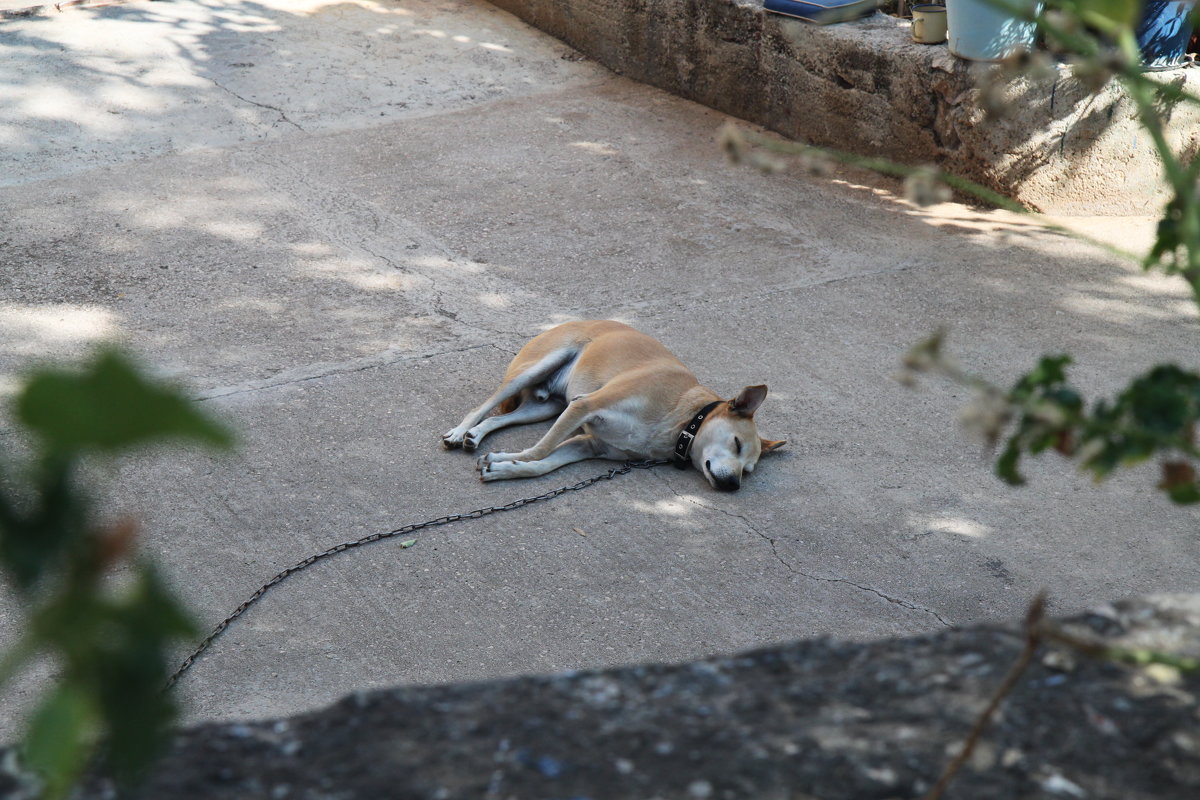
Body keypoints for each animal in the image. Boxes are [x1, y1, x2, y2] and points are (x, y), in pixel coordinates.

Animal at [444, 321, 787, 491]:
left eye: (748, 470)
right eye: (737, 443)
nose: (732, 486)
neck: (683, 419)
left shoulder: (589, 444)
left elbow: (542, 464)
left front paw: (505, 466)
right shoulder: (584, 406)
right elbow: (540, 450)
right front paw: (504, 459)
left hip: (548, 408)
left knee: (500, 419)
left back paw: (475, 435)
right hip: (534, 370)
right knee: (482, 407)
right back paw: (460, 431)